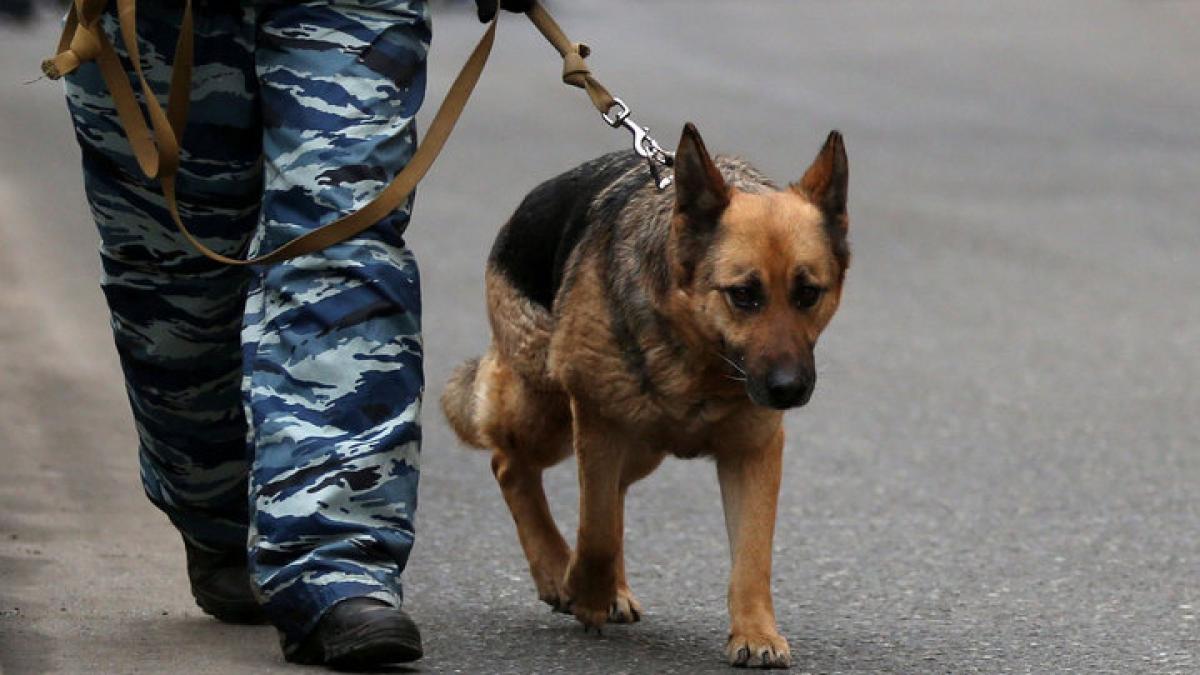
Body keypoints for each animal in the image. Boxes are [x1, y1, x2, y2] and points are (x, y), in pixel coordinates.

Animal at [446, 123, 849, 662]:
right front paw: (582, 589)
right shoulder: (598, 423)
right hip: (547, 415)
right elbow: (594, 529)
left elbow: (752, 555)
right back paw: (555, 569)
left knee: (610, 493)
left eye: (808, 294)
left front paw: (755, 633)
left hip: (639, 448)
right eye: (744, 295)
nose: (788, 389)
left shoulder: (753, 452)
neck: (698, 359)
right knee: (511, 466)